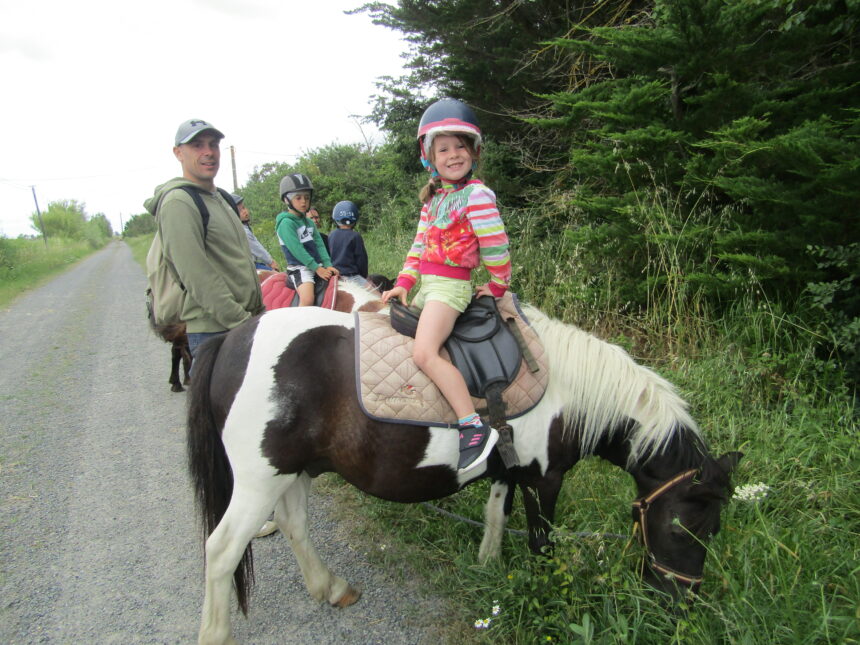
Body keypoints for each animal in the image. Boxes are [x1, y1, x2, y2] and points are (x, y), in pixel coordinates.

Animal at [186, 290, 740, 640]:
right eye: (691, 529)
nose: (679, 608)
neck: (570, 391)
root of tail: (230, 339)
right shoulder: (545, 479)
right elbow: (542, 545)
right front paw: (544, 598)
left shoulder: (509, 471)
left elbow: (496, 517)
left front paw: (488, 568)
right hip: (258, 480)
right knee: (221, 550)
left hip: (291, 471)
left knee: (294, 524)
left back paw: (331, 587)